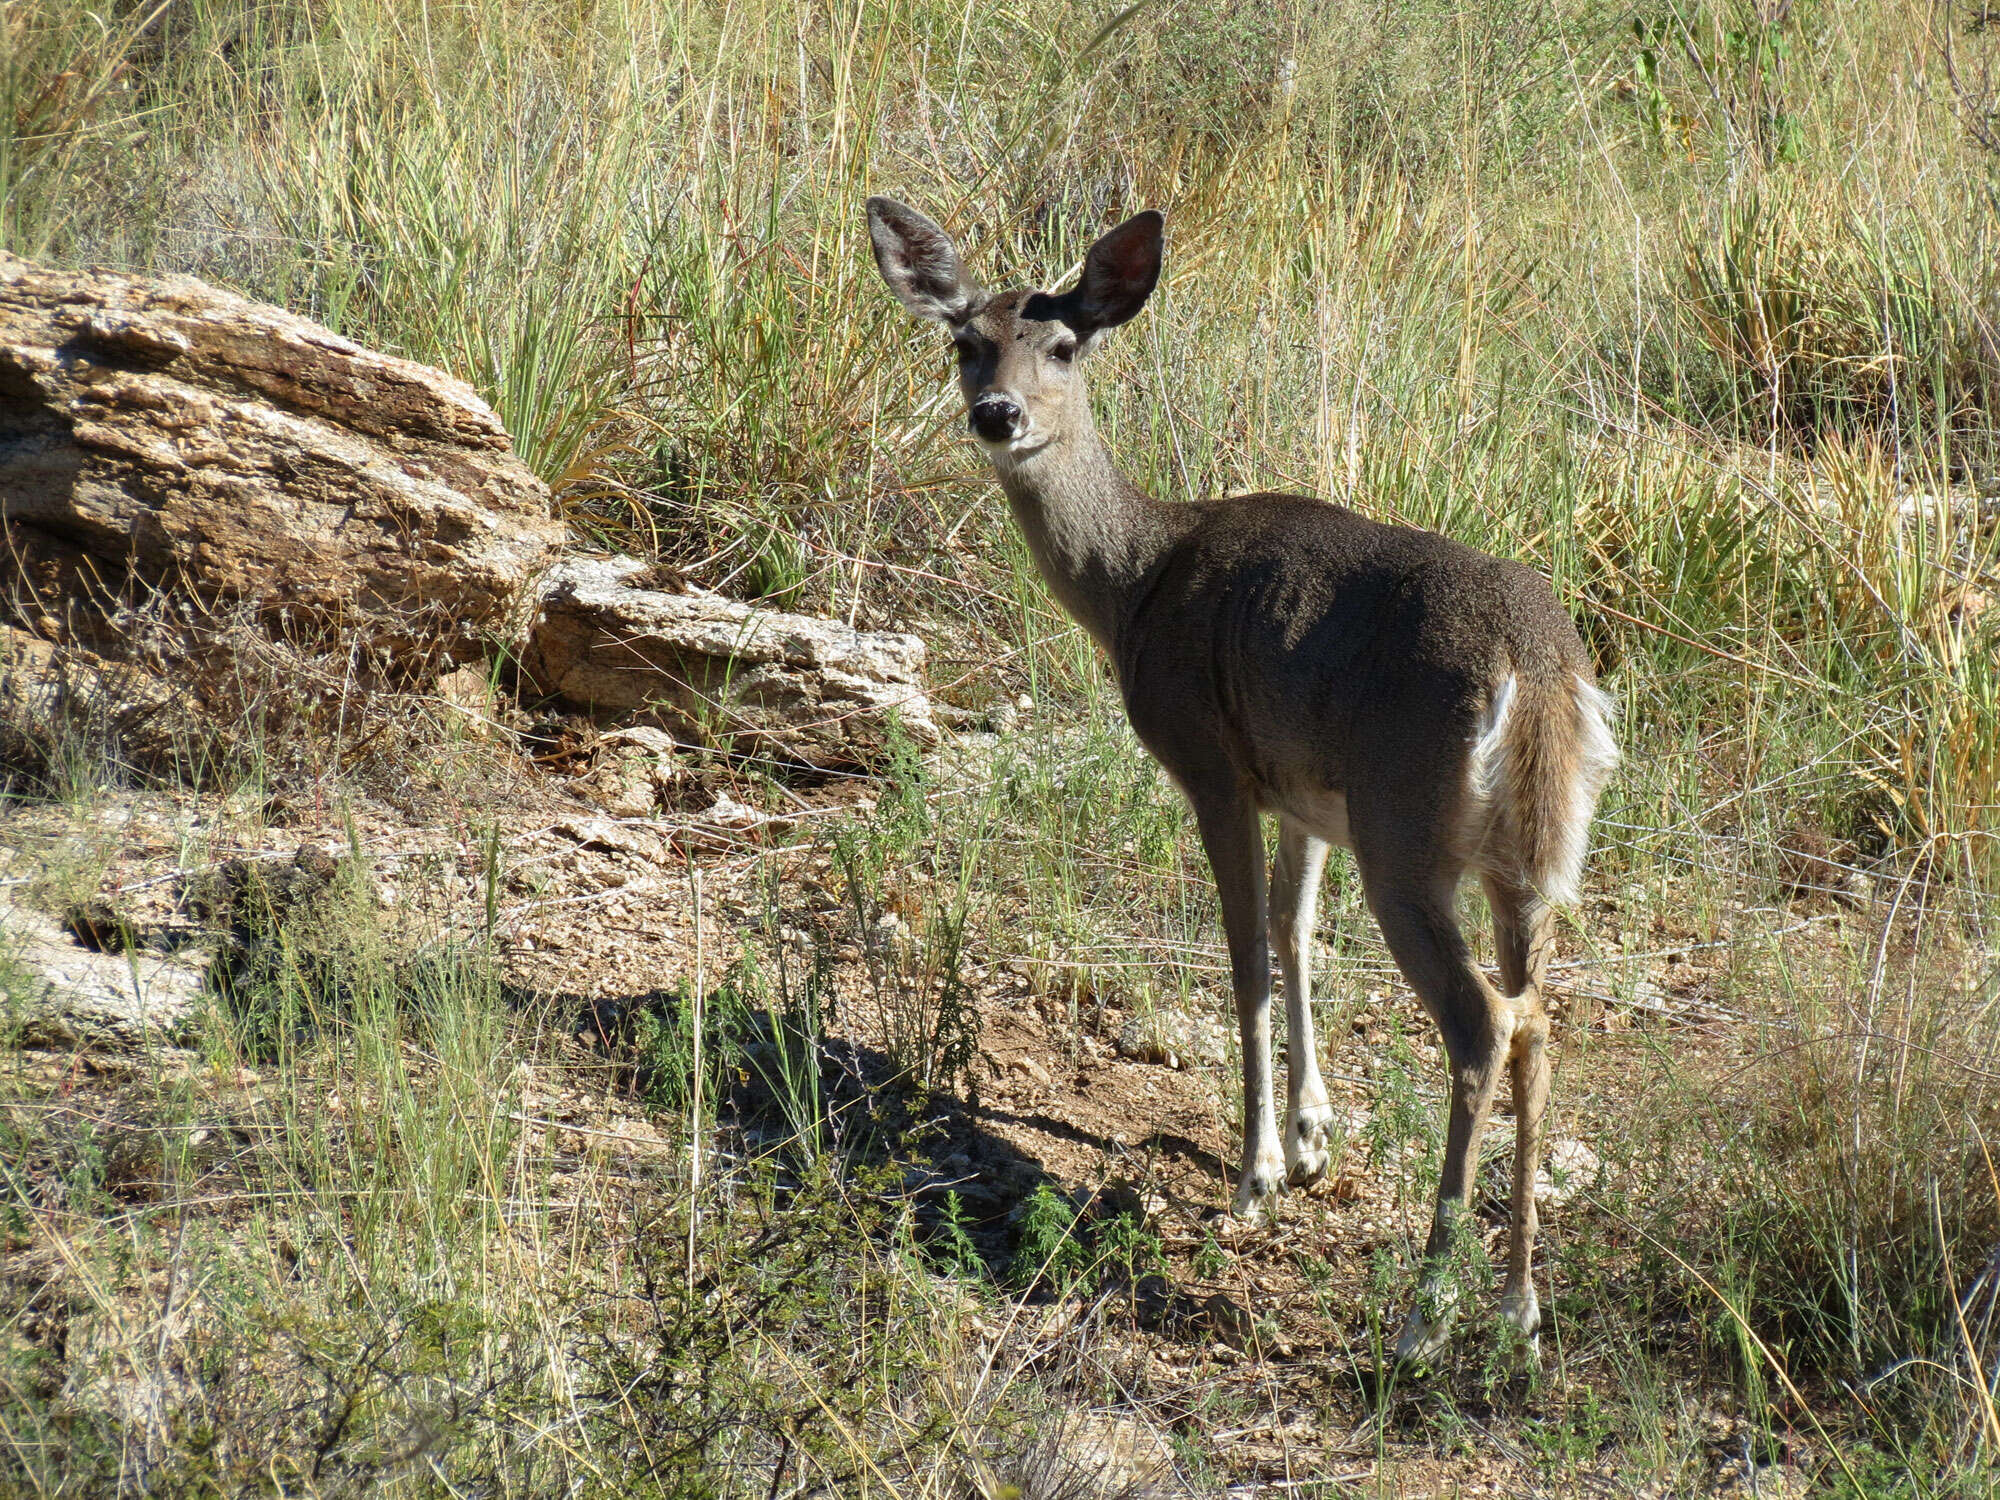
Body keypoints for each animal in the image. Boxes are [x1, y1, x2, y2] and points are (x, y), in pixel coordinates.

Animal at [868, 197, 1616, 1360]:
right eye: (964, 342)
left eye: (1063, 345)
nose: (996, 414)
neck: (1135, 583)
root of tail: (1536, 673)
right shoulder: (1303, 792)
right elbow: (1293, 933)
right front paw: (1311, 1138)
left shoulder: (1211, 764)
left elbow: (1242, 958)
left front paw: (1257, 1174)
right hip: (1523, 858)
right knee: (1537, 1018)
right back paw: (1518, 1309)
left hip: (1406, 830)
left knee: (1482, 1022)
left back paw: (1426, 1310)